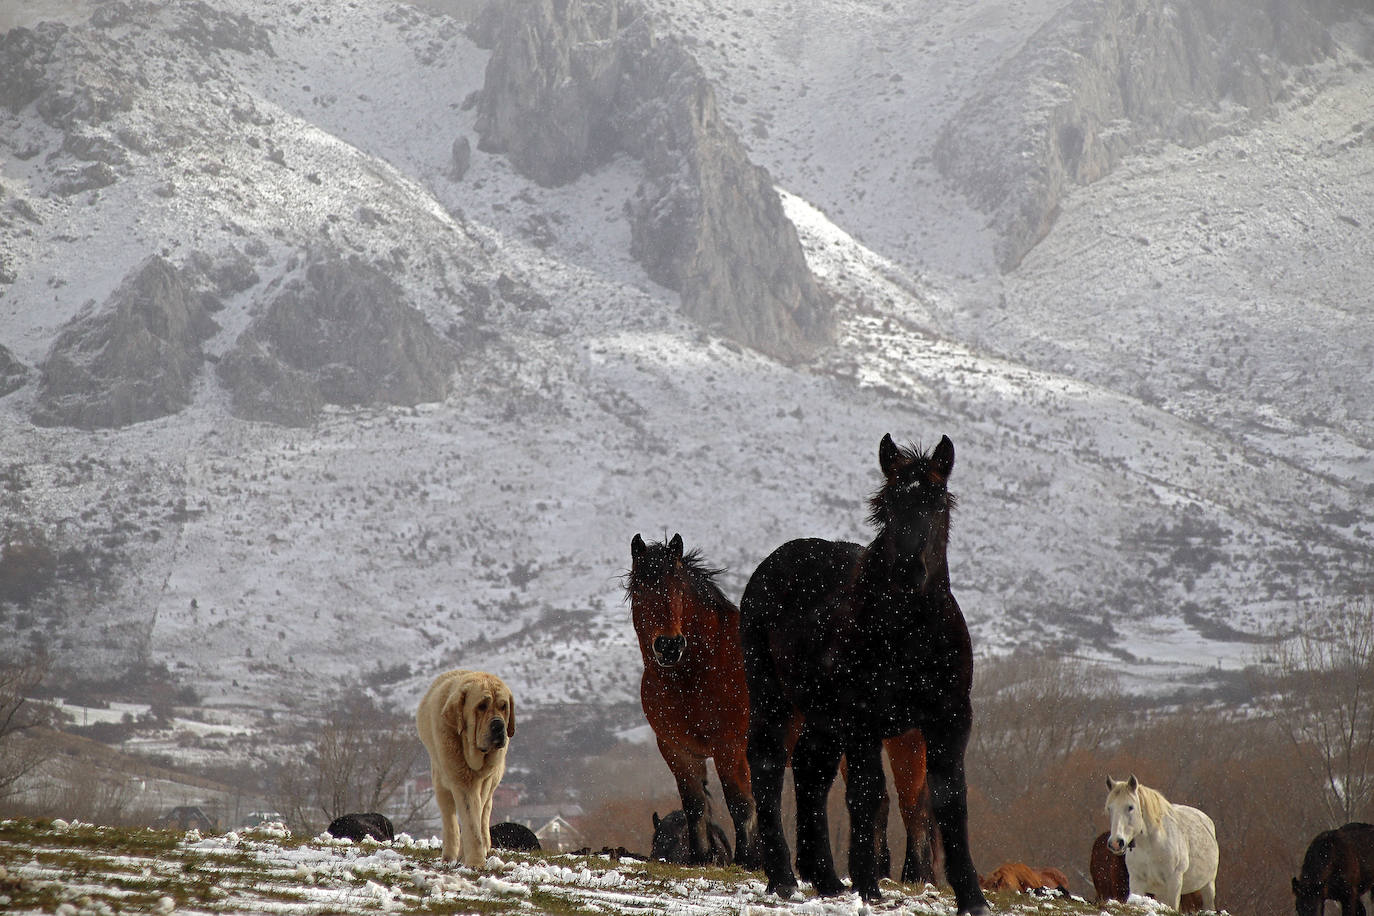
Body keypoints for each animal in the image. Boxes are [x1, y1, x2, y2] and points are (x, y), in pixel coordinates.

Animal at [417, 670, 516, 862]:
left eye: (503, 706)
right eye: (482, 706)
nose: (499, 725)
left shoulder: (483, 781)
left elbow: (475, 818)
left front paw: (473, 856)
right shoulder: (460, 779)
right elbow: (468, 819)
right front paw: (474, 860)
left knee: (485, 811)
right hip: (440, 781)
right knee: (449, 817)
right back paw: (450, 854)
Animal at [629, 538, 939, 878]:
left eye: (680, 588)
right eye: (639, 590)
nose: (669, 646)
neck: (697, 673)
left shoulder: (731, 749)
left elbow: (741, 803)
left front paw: (749, 861)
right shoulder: (676, 751)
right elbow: (695, 805)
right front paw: (700, 859)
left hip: (907, 740)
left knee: (914, 805)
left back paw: (914, 876)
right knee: (878, 801)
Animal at [741, 433, 989, 911]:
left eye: (938, 503)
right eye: (889, 504)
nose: (909, 570)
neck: (909, 632)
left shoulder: (950, 720)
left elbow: (950, 798)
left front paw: (972, 897)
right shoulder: (863, 721)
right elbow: (867, 794)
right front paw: (868, 885)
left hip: (821, 719)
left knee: (810, 772)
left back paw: (825, 879)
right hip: (774, 700)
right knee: (768, 765)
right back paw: (783, 878)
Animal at [1104, 780, 1225, 911]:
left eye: (1130, 807)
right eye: (1109, 808)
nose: (1115, 843)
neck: (1150, 846)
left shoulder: (1174, 881)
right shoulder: (1137, 881)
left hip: (1208, 885)